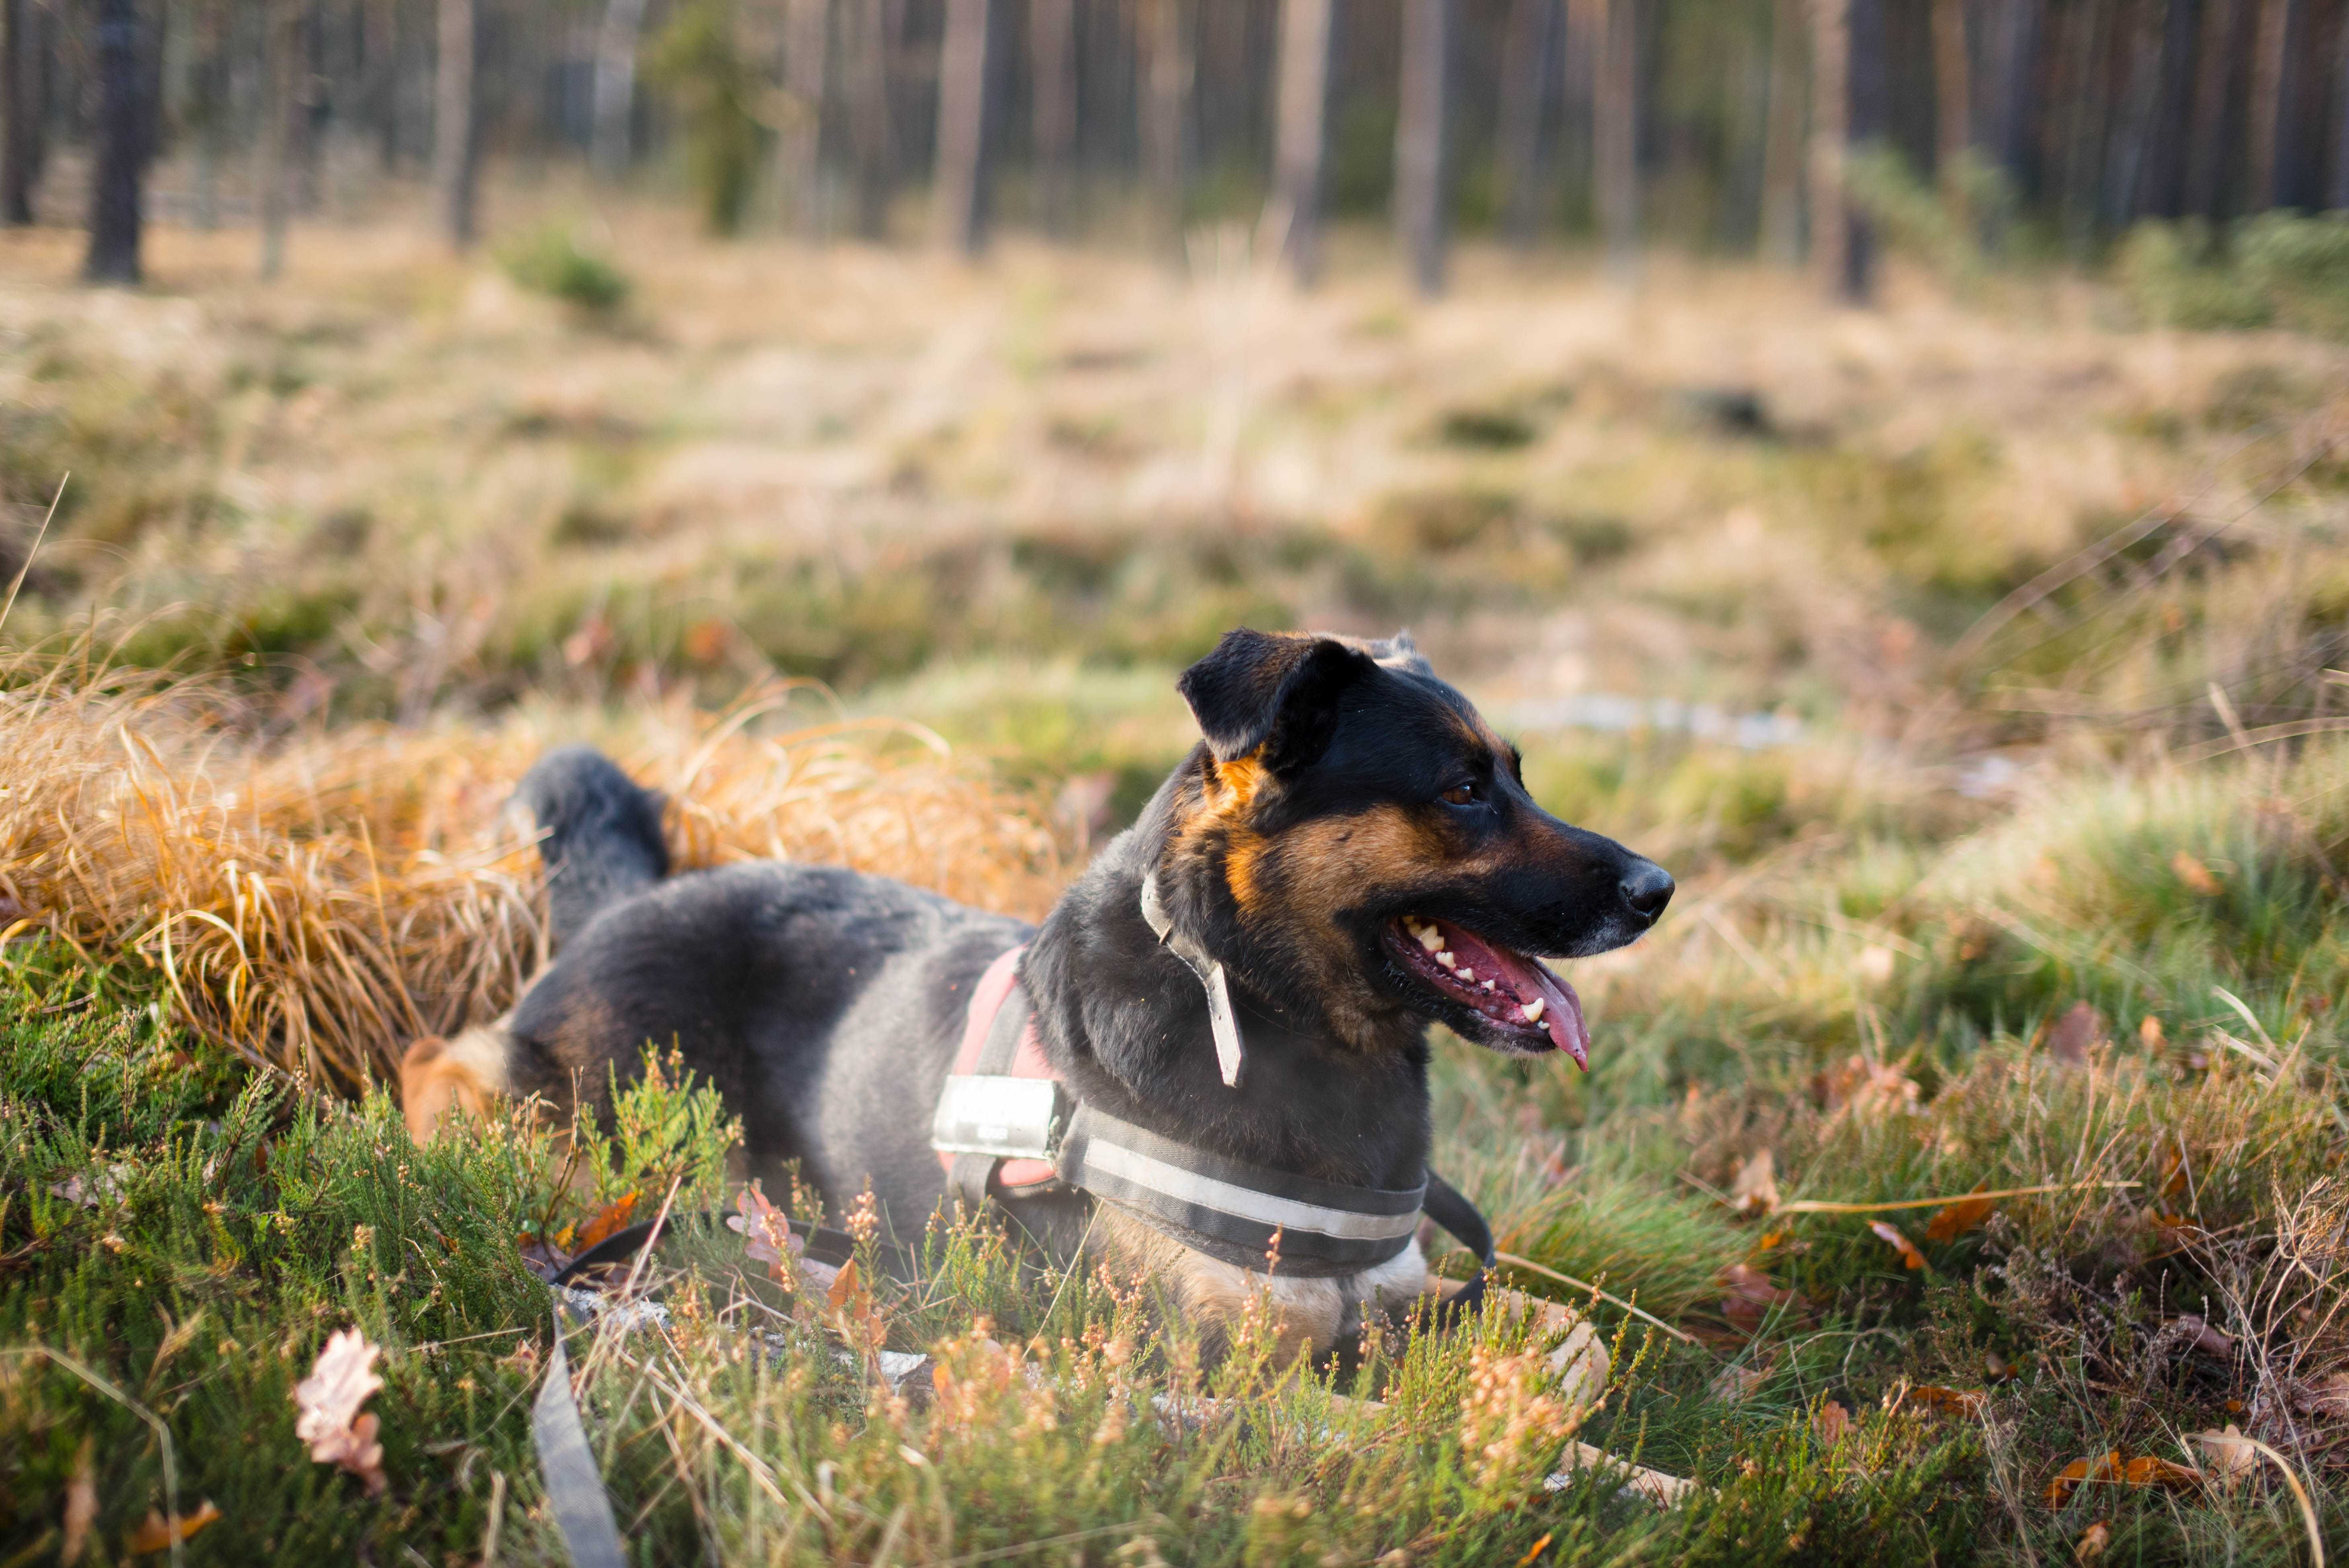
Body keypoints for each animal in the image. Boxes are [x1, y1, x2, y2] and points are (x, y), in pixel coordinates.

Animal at [413, 629, 1682, 1352]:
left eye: (1516, 775)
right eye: (1462, 789)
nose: (1658, 890)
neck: (1265, 1011)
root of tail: (625, 900)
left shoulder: (1410, 1291)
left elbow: (1579, 1338)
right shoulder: (1230, 1350)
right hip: (603, 1099)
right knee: (456, 1061)